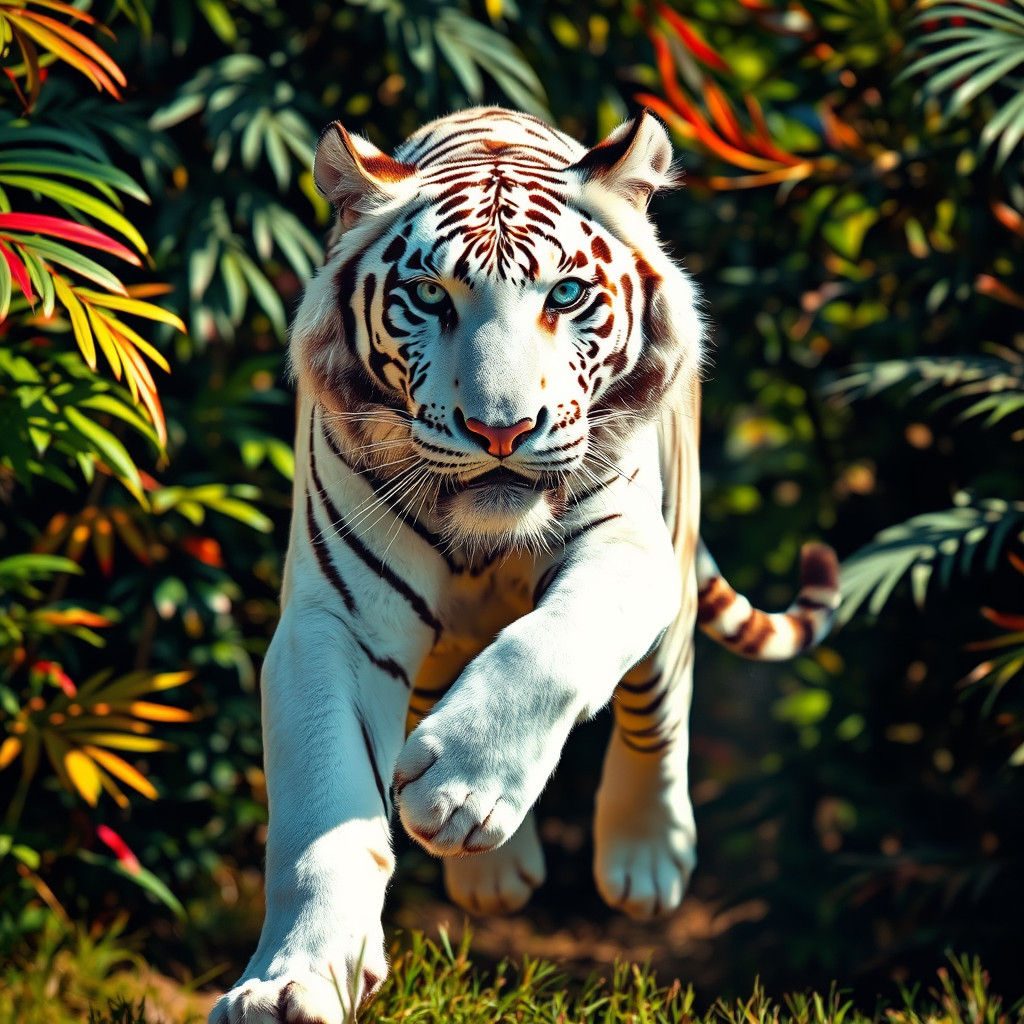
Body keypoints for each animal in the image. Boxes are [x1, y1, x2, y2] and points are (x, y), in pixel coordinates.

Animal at [210, 107, 840, 1024]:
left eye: (566, 295)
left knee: (660, 702)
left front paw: (461, 785)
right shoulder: (335, 621)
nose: (501, 431)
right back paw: (492, 878)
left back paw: (644, 859)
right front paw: (291, 981)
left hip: (676, 551)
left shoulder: (629, 547)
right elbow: (317, 815)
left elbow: (550, 649)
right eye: (429, 296)